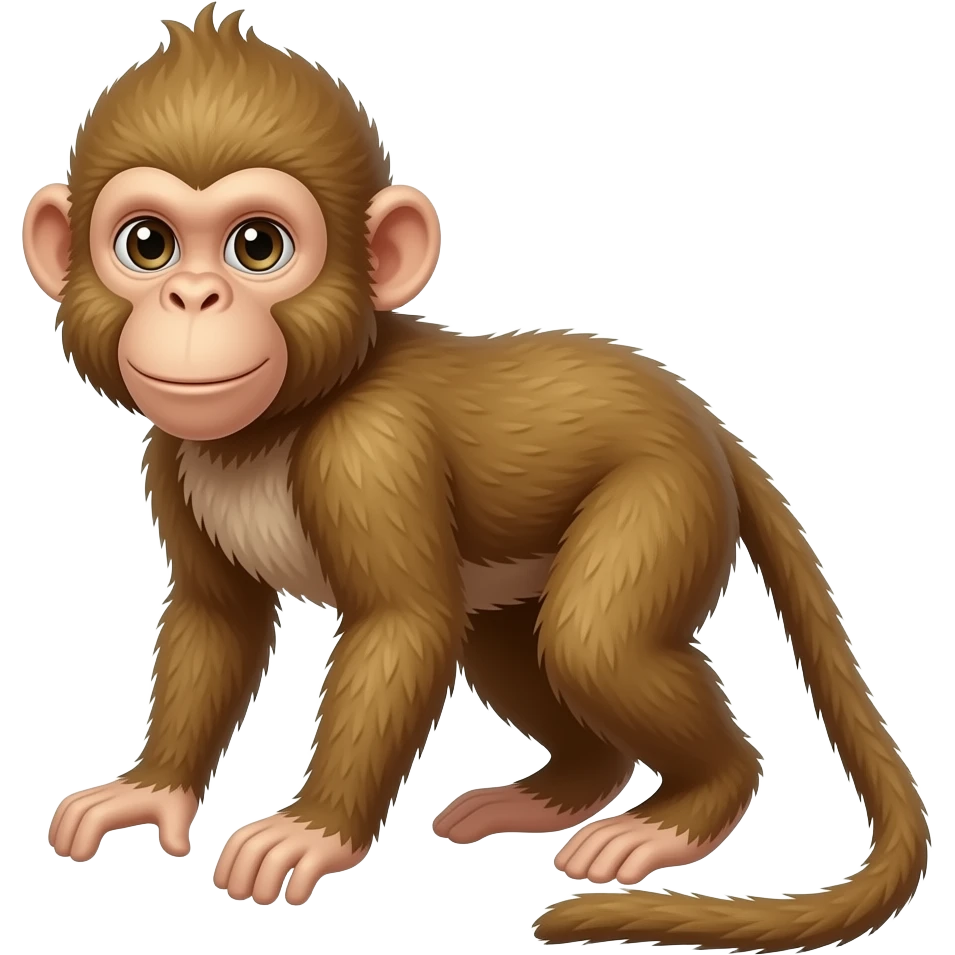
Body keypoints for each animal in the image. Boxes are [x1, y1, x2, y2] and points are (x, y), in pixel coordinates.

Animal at [25, 6, 929, 950]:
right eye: (149, 244)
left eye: (257, 247)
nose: (193, 298)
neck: (276, 424)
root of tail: (701, 417)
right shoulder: (171, 454)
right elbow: (216, 617)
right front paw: (150, 789)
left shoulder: (371, 449)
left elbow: (401, 625)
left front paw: (310, 830)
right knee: (507, 642)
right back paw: (556, 791)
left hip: (666, 493)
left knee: (591, 641)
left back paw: (681, 811)